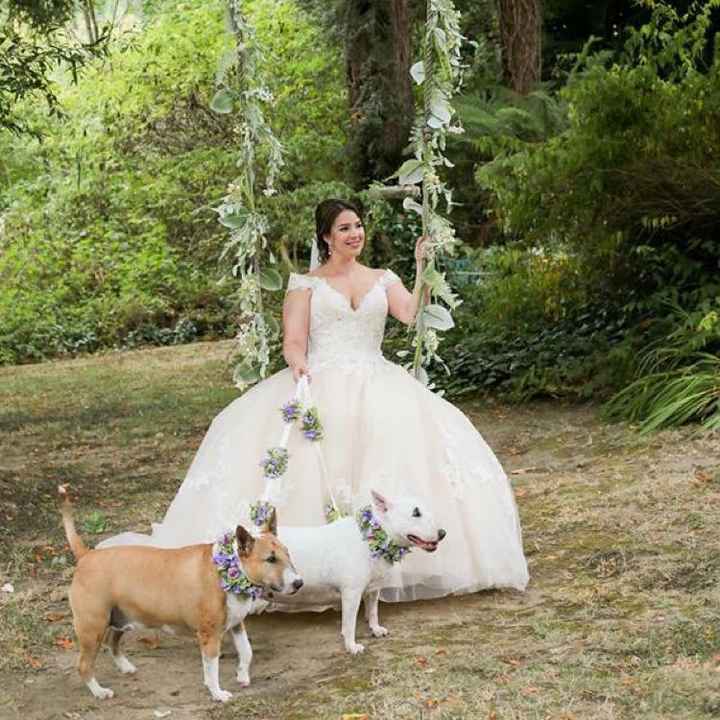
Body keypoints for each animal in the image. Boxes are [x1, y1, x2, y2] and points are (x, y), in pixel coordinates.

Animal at [58, 486, 300, 700]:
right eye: (270, 559)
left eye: (287, 553)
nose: (299, 583)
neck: (233, 570)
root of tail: (86, 555)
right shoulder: (209, 634)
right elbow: (211, 667)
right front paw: (217, 694)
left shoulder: (236, 624)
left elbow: (247, 651)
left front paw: (242, 676)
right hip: (92, 627)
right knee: (84, 665)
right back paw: (99, 692)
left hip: (120, 617)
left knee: (112, 642)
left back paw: (126, 667)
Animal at [276, 490, 444, 652]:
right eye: (416, 513)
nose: (443, 533)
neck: (371, 539)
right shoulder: (351, 593)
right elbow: (349, 624)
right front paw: (351, 646)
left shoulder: (373, 589)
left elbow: (373, 611)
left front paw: (375, 629)